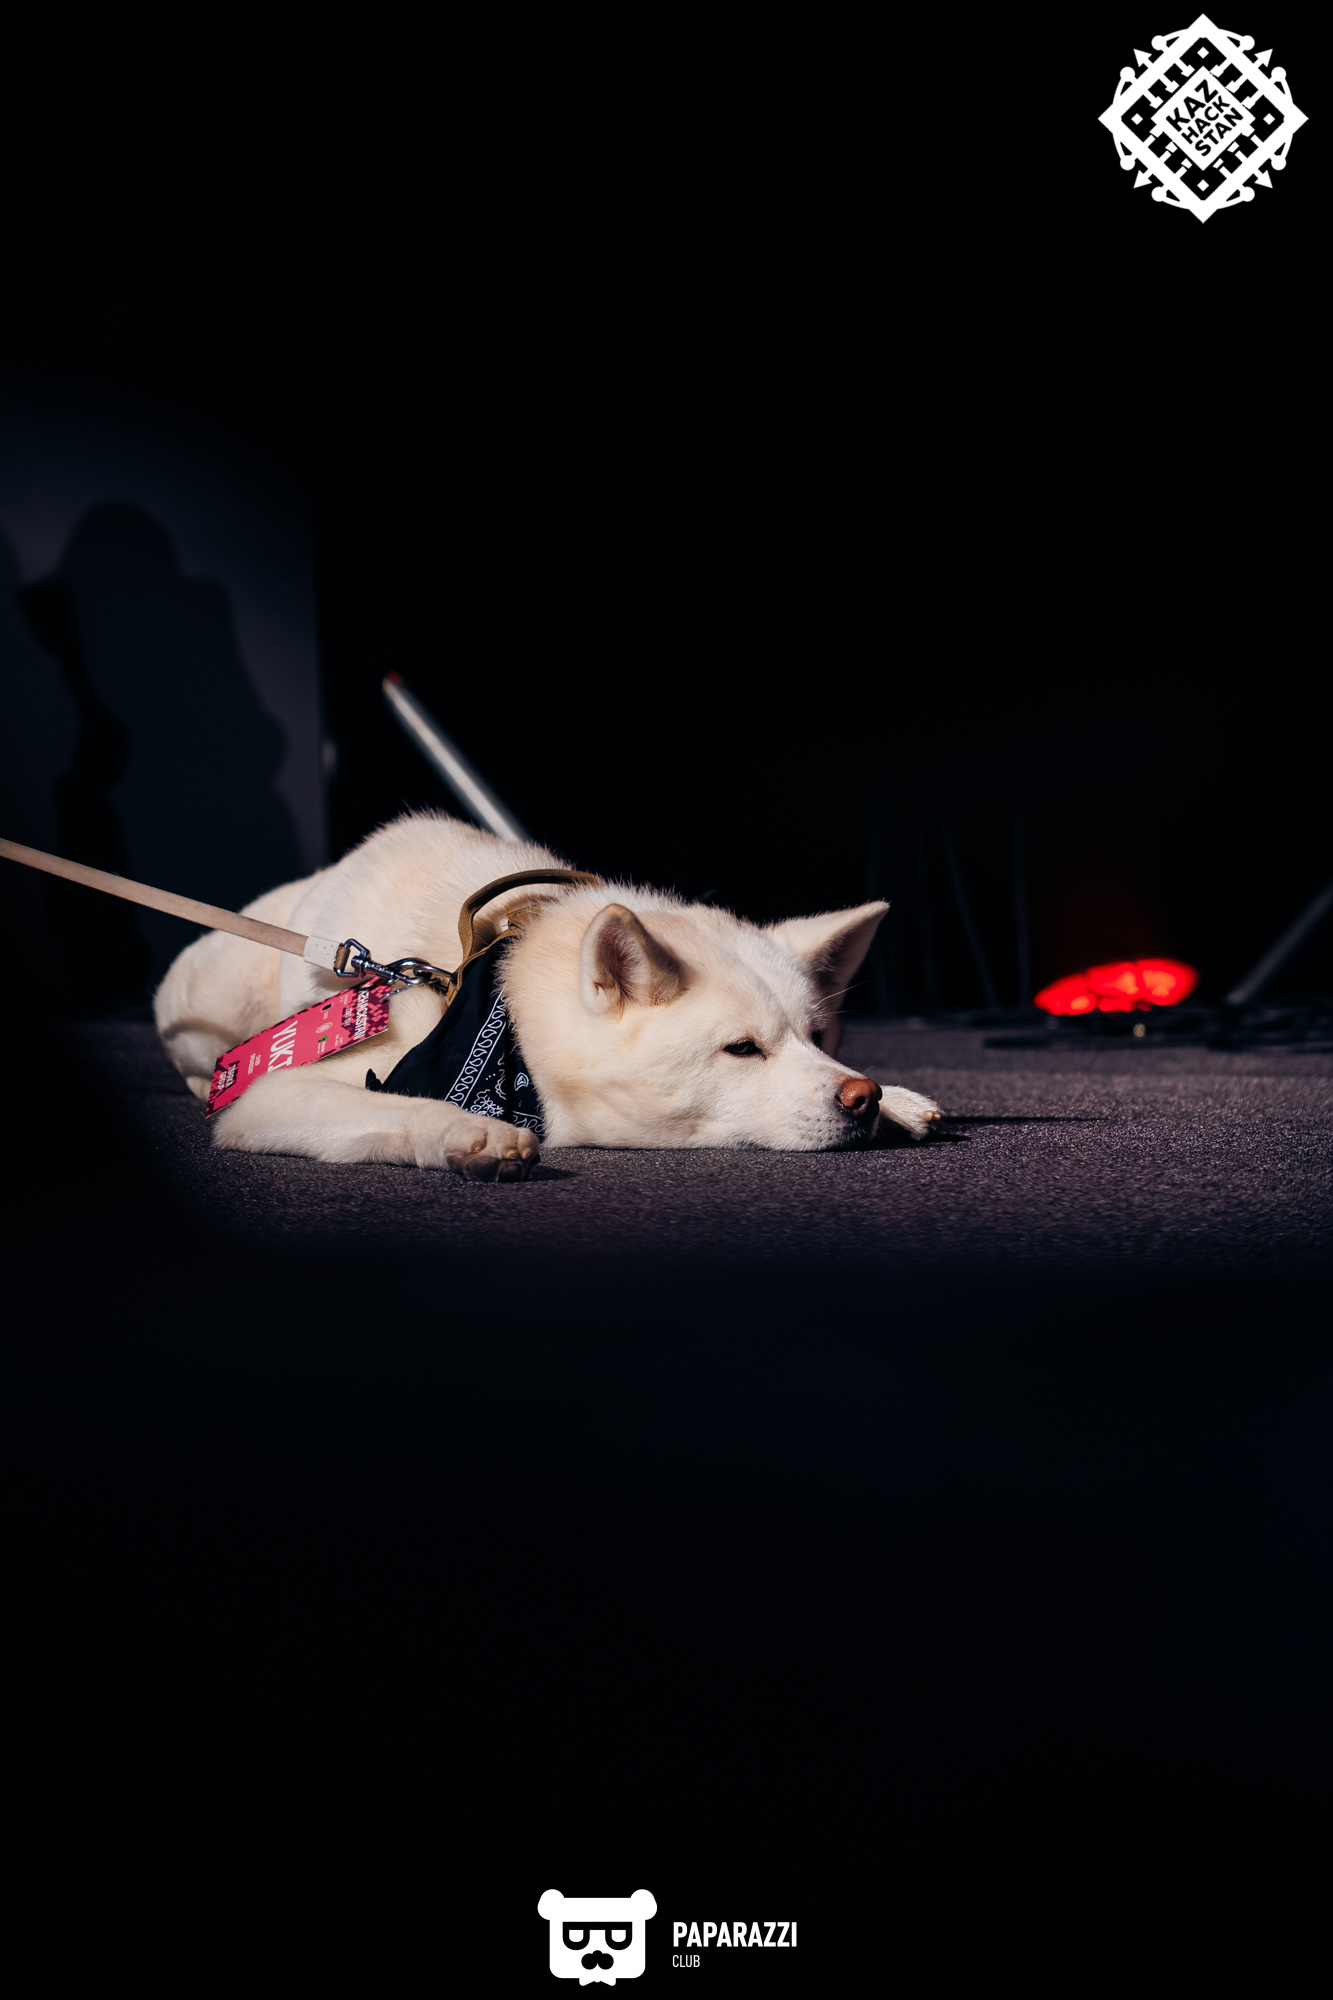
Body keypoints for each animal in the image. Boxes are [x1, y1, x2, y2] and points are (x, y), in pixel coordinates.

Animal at [155, 812, 942, 1179]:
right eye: (741, 1049)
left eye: (820, 1037)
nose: (861, 1097)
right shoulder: (277, 1094)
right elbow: (395, 1110)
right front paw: (466, 1135)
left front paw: (898, 1099)